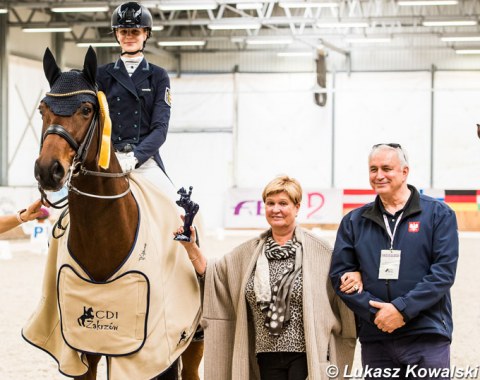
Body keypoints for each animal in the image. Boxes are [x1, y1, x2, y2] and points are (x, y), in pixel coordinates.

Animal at [23, 46, 201, 380]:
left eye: (86, 109)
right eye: (42, 109)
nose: (48, 170)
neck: (103, 238)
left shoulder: (147, 353)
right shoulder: (83, 349)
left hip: (189, 336)